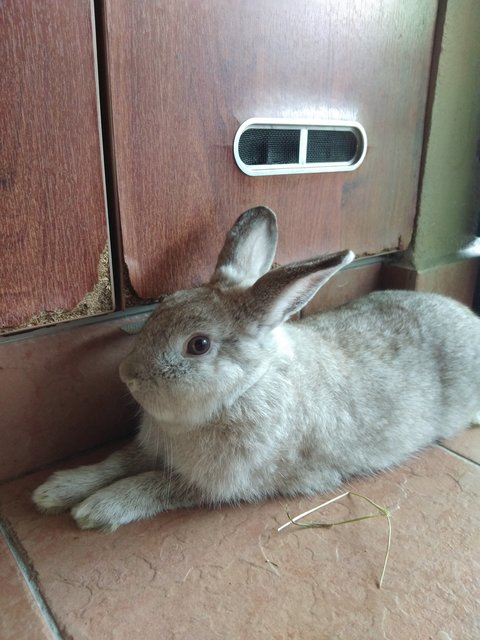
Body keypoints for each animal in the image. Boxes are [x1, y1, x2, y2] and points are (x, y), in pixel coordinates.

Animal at [31, 206, 478, 528]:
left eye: (198, 345)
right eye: (163, 305)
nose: (128, 374)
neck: (246, 387)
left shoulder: (219, 483)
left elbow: (153, 484)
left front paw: (96, 509)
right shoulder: (151, 450)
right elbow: (117, 461)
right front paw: (54, 491)